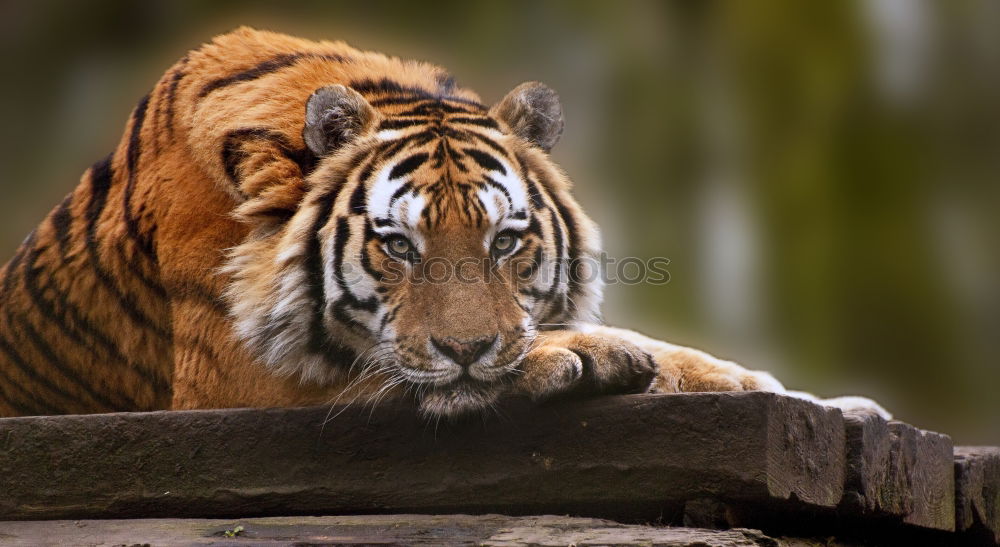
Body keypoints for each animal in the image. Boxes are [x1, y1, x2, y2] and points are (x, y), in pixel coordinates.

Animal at [0, 26, 888, 420]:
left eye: (507, 240)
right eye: (397, 245)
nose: (468, 348)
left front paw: (826, 402)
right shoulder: (232, 379)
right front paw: (585, 356)